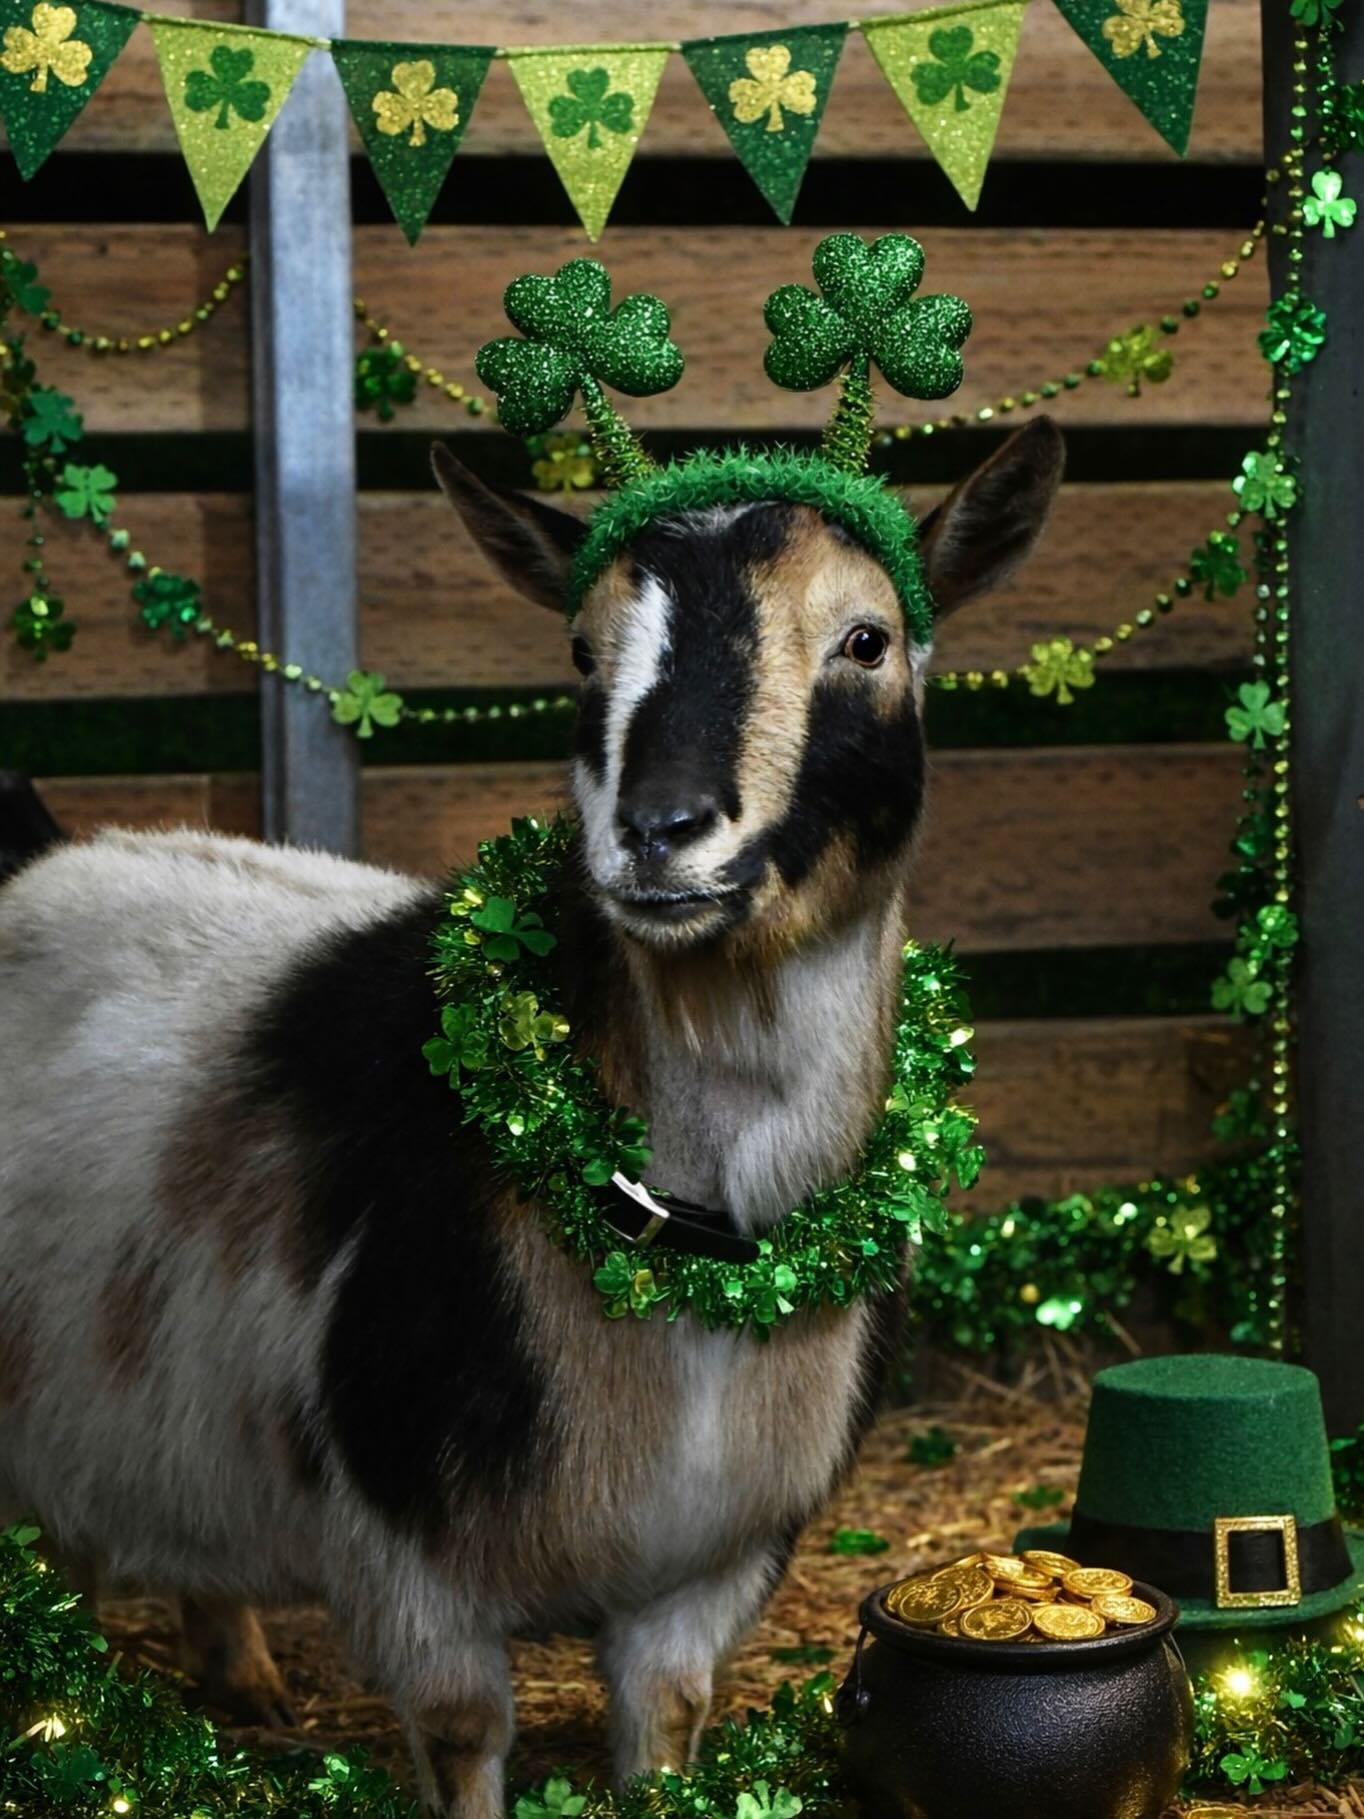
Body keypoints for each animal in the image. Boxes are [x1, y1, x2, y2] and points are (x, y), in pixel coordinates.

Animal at [0, 417, 1063, 1818]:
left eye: (865, 639)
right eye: (578, 650)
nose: (659, 831)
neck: (690, 1246)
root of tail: (40, 854)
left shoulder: (707, 1568)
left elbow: (665, 1728)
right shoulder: (413, 1567)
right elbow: (462, 1740)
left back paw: (240, 1681)